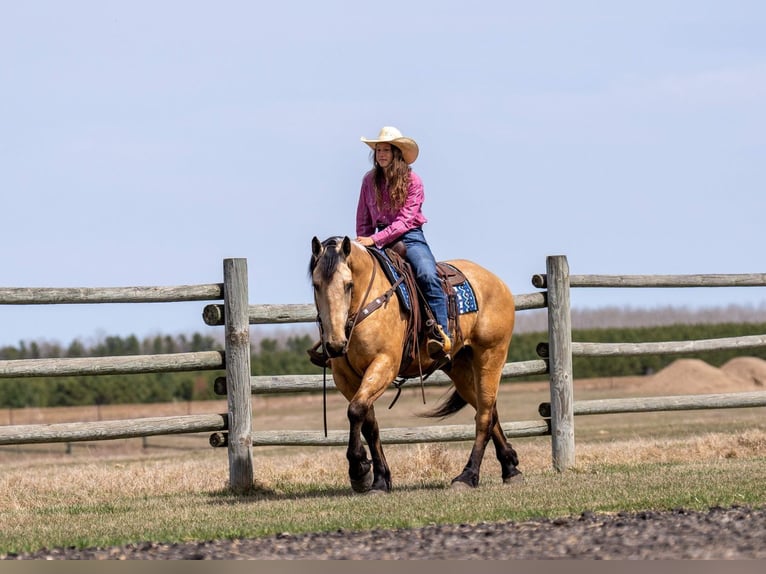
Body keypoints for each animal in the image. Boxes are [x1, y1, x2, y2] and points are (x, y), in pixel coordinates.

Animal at [309, 235, 521, 493]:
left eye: (348, 284)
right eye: (316, 285)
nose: (335, 345)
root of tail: (497, 282)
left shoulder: (384, 364)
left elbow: (356, 410)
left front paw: (359, 470)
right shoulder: (346, 377)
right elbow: (368, 422)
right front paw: (379, 479)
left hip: (490, 355)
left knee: (484, 417)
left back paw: (467, 476)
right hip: (460, 368)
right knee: (489, 410)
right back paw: (510, 467)